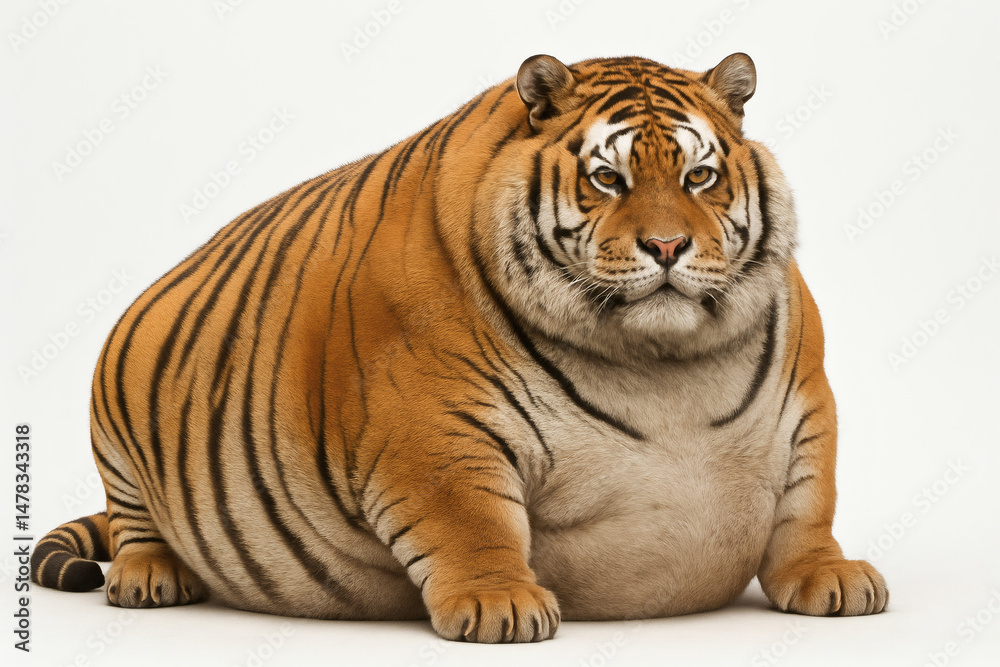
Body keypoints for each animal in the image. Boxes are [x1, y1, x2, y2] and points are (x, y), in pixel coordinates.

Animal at [32, 52, 888, 643]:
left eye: (701, 176)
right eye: (609, 179)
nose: (669, 245)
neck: (663, 366)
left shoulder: (809, 403)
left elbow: (808, 500)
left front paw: (833, 576)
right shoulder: (434, 429)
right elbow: (469, 517)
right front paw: (497, 601)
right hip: (115, 401)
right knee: (135, 518)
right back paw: (151, 576)